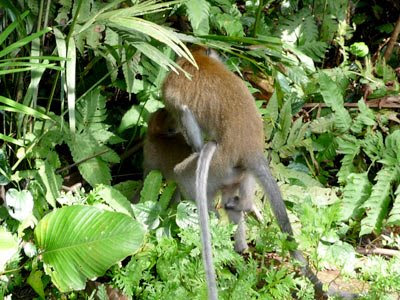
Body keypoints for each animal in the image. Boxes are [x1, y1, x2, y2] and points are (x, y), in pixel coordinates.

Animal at [162, 48, 356, 298]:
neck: (197, 60)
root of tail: (251, 149)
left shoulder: (172, 93)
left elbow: (185, 114)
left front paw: (192, 143)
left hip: (218, 165)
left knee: (186, 179)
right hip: (233, 172)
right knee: (235, 196)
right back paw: (241, 230)